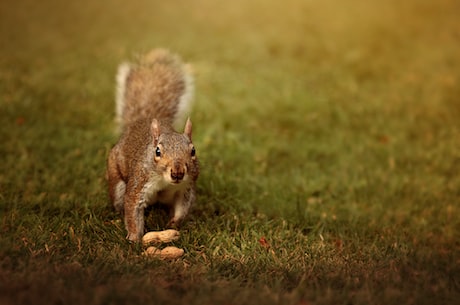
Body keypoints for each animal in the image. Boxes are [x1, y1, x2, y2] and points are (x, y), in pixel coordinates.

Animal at [107, 49, 199, 240]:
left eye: (193, 151)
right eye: (157, 151)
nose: (177, 173)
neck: (164, 181)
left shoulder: (186, 187)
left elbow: (182, 207)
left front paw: (174, 224)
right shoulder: (139, 183)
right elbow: (132, 209)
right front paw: (134, 239)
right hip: (116, 179)